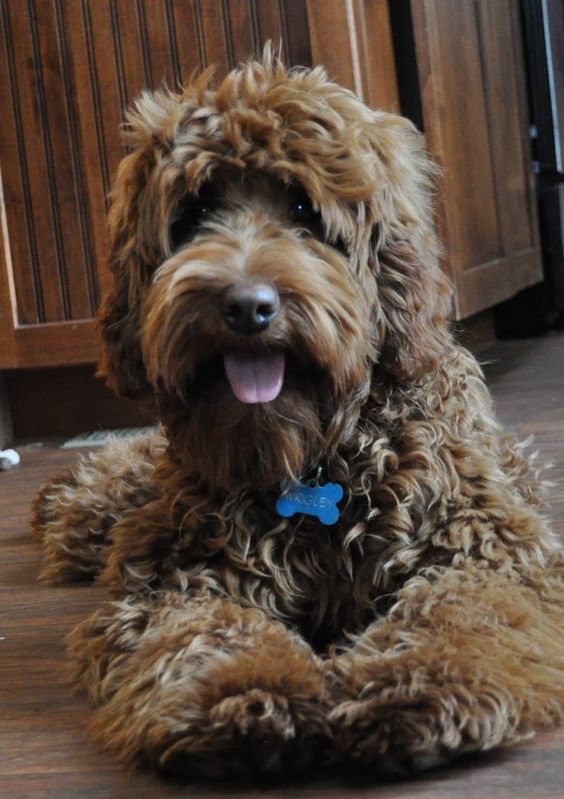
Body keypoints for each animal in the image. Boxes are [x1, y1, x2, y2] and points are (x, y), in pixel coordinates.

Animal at [32, 56, 564, 780]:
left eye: (306, 210)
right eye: (196, 211)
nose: (246, 305)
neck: (313, 458)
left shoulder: (483, 543)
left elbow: (461, 610)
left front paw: (413, 683)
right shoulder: (176, 569)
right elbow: (201, 630)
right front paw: (246, 695)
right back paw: (62, 499)